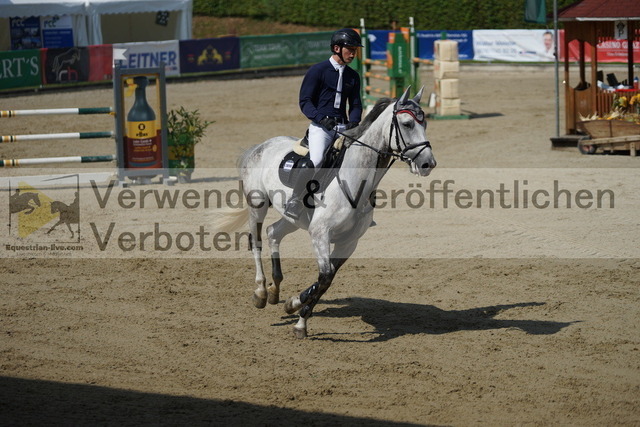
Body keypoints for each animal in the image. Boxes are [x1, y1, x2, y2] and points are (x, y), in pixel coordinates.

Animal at [221, 86, 436, 338]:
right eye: (407, 124)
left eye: (425, 123)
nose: (428, 163)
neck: (355, 179)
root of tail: (260, 146)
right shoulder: (320, 233)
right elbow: (324, 277)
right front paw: (301, 323)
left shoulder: (348, 242)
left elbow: (329, 277)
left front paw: (294, 303)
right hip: (258, 204)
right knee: (255, 241)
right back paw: (261, 292)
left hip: (293, 218)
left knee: (273, 232)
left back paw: (275, 290)